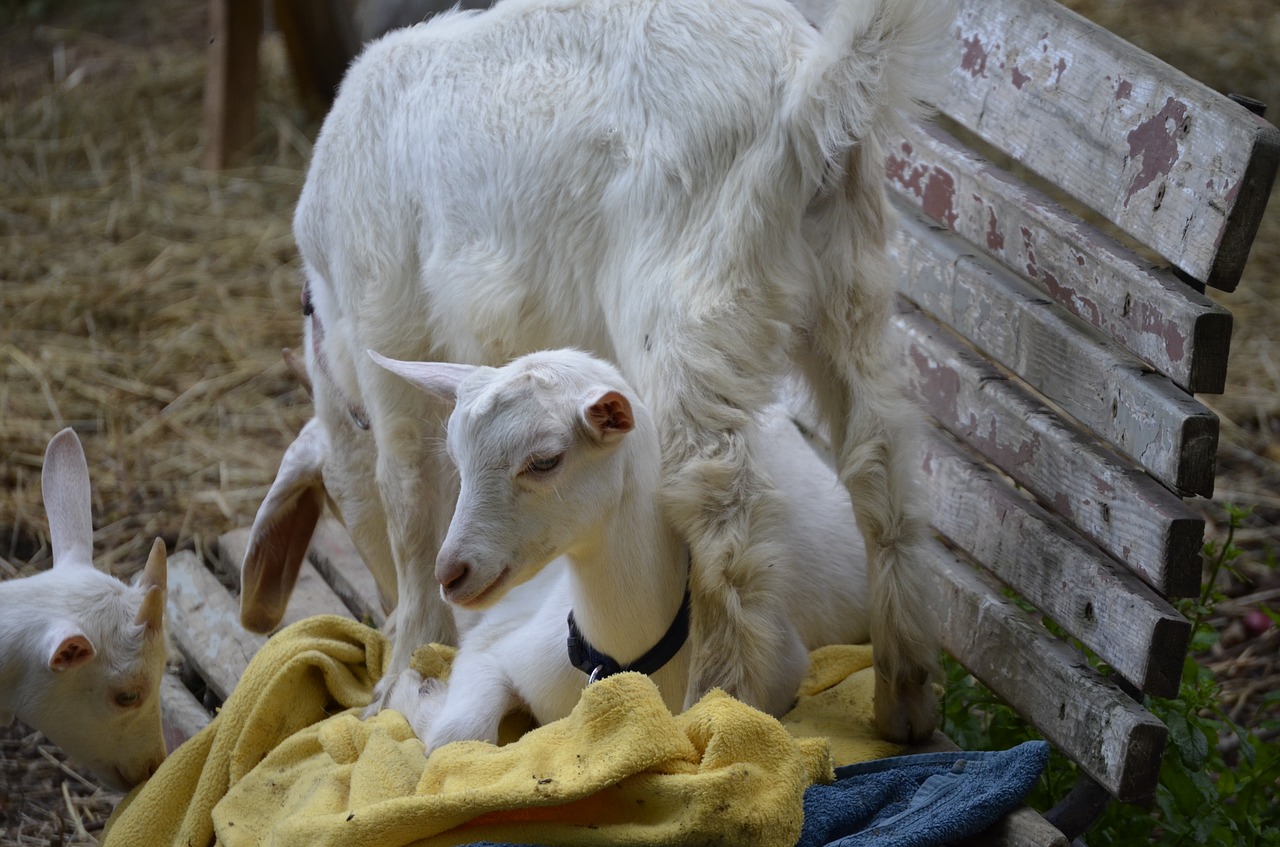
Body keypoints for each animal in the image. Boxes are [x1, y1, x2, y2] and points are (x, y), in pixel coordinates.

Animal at [371, 348, 870, 752]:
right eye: (457, 460)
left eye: (545, 460)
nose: (450, 573)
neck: (618, 659)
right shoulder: (495, 644)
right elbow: (458, 733)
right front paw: (409, 689)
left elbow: (456, 736)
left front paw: (411, 687)